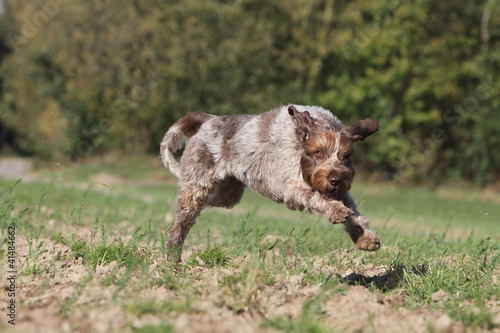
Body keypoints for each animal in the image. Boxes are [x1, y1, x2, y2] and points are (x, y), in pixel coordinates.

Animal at [162, 104, 380, 260]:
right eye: (318, 152)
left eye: (346, 156)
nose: (335, 179)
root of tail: (209, 120)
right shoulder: (293, 188)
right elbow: (317, 199)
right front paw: (335, 210)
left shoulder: (342, 192)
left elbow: (355, 215)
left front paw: (364, 237)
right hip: (197, 184)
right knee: (183, 220)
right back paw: (172, 258)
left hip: (228, 193)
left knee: (206, 203)